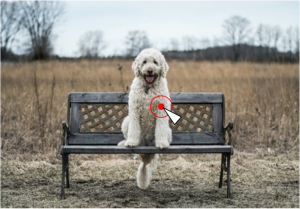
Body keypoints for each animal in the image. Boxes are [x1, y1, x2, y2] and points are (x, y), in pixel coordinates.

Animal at [118, 48, 172, 189]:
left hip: (168, 131)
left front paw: (161, 143)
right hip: (126, 121)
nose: (149, 70)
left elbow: (160, 129)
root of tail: (146, 144)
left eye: (155, 62)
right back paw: (125, 143)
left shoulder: (161, 110)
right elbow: (134, 130)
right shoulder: (134, 110)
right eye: (144, 62)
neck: (148, 87)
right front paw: (131, 142)